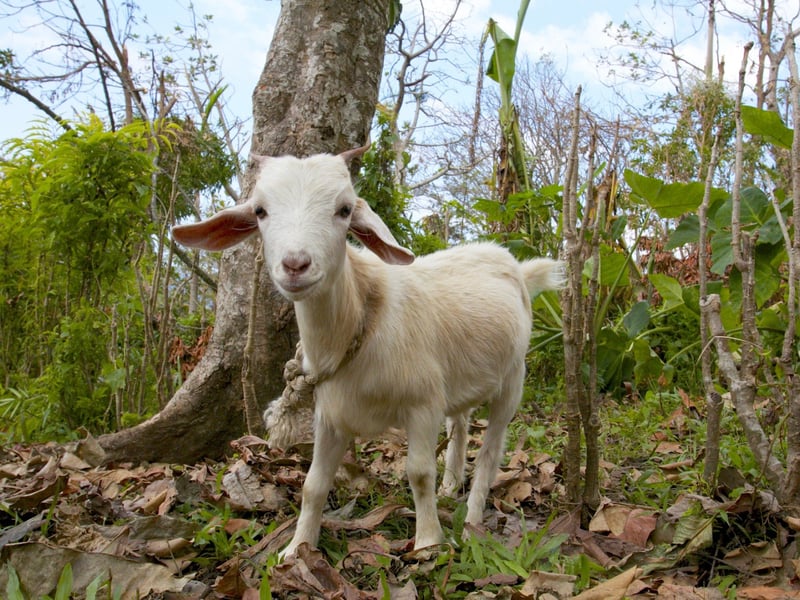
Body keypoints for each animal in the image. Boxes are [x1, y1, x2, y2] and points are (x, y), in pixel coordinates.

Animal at [173, 149, 564, 556]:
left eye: (344, 209)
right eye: (260, 211)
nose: (295, 265)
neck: (360, 316)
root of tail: (513, 263)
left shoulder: (423, 403)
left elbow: (419, 473)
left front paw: (428, 543)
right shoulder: (330, 415)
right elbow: (313, 485)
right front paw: (296, 548)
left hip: (513, 378)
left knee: (490, 452)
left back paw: (471, 519)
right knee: (459, 424)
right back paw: (450, 486)